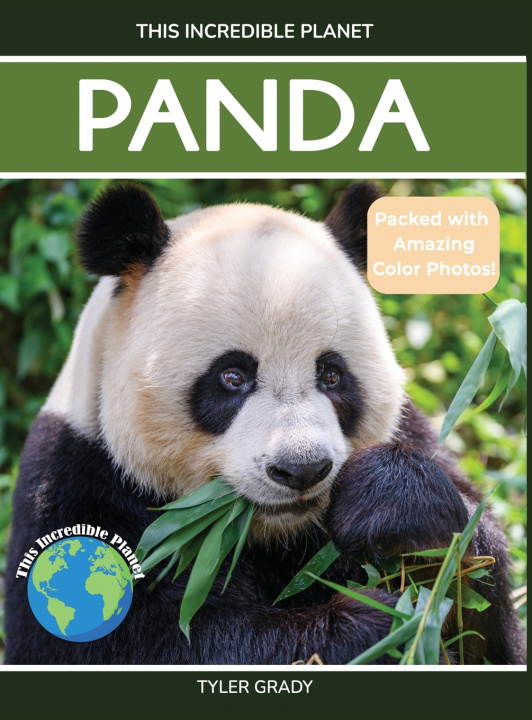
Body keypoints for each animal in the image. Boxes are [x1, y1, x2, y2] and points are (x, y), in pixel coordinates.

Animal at [5, 182, 525, 665]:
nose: (302, 469)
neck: (275, 534)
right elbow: (155, 641)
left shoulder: (412, 431)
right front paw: (373, 631)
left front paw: (396, 512)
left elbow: (484, 613)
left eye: (331, 374)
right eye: (233, 377)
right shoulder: (79, 483)